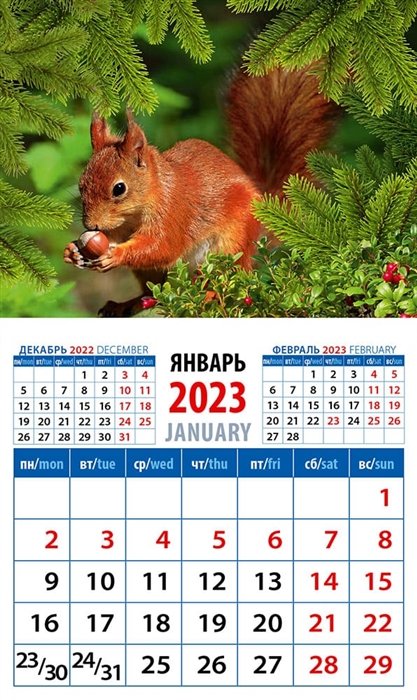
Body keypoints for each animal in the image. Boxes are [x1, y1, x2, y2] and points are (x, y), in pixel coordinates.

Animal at [64, 65, 337, 317]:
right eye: (81, 183)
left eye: (119, 188)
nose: (91, 225)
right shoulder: (122, 227)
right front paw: (73, 252)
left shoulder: (174, 213)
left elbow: (162, 247)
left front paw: (116, 254)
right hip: (151, 273)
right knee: (151, 293)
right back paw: (126, 304)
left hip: (229, 247)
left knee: (232, 282)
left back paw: (208, 295)